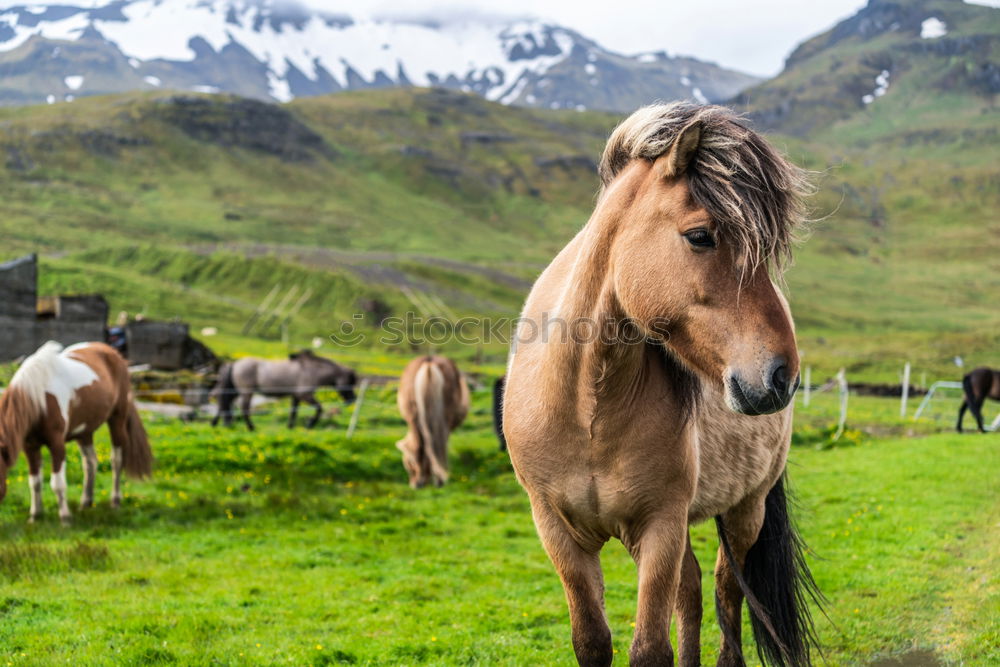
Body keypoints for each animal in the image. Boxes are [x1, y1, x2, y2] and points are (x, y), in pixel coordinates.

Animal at [0, 342, 152, 524]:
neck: (37, 400)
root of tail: (113, 352)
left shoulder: (57, 445)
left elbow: (58, 484)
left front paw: (65, 517)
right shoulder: (30, 447)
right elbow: (34, 482)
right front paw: (35, 516)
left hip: (117, 420)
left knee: (116, 460)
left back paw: (115, 501)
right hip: (84, 432)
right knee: (90, 463)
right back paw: (86, 502)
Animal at [209, 350, 358, 434]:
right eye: (350, 382)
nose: (353, 399)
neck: (312, 371)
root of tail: (235, 363)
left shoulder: (296, 396)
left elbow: (293, 411)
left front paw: (290, 426)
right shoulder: (304, 395)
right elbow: (319, 408)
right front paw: (310, 425)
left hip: (235, 390)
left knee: (223, 402)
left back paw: (217, 423)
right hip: (247, 392)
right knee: (243, 408)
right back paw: (251, 427)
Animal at [394, 354, 468, 490]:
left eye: (407, 461)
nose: (413, 483)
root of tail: (429, 363)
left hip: (416, 417)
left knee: (423, 446)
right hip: (442, 421)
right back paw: (438, 479)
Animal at [504, 102, 824, 664]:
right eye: (700, 236)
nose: (781, 376)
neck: (587, 409)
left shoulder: (659, 527)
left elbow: (651, 647)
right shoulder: (558, 532)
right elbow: (592, 640)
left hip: (746, 507)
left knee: (725, 591)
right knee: (693, 591)